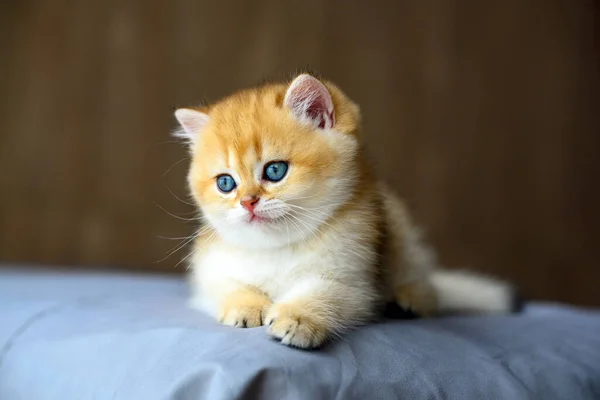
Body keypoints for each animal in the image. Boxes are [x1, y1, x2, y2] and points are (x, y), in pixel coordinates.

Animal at [172, 73, 516, 348]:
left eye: (275, 170)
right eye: (226, 183)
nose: (248, 202)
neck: (280, 245)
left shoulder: (356, 283)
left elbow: (326, 293)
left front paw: (297, 319)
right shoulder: (210, 267)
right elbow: (226, 285)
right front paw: (245, 306)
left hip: (401, 234)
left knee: (429, 288)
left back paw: (409, 299)